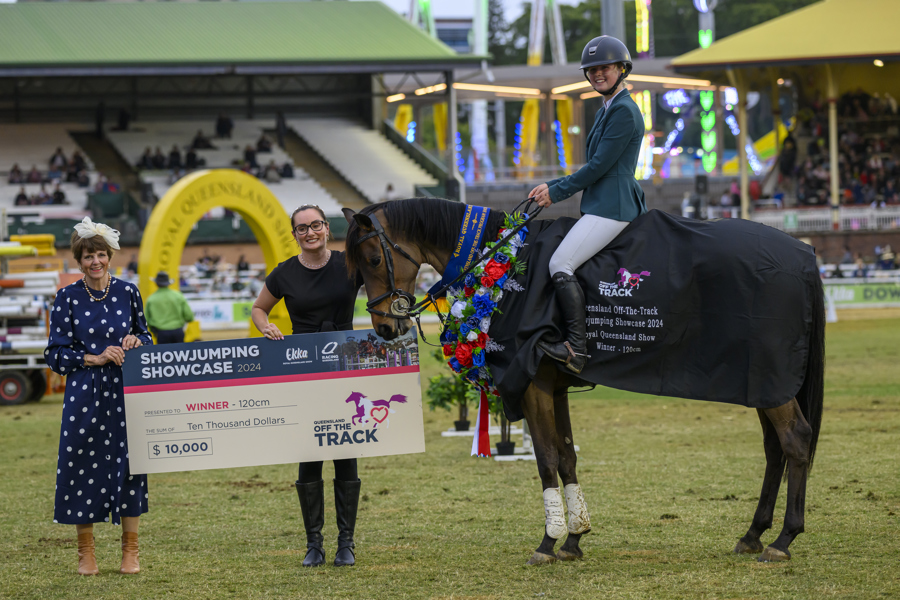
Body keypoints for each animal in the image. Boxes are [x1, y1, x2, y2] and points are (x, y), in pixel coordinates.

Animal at [343, 198, 824, 566]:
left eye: (372, 260)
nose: (383, 328)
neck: (501, 267)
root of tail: (802, 254)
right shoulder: (555, 388)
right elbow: (569, 458)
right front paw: (575, 537)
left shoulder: (532, 385)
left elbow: (547, 459)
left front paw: (548, 542)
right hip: (760, 383)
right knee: (775, 448)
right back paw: (754, 534)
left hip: (768, 378)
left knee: (796, 440)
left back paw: (783, 540)